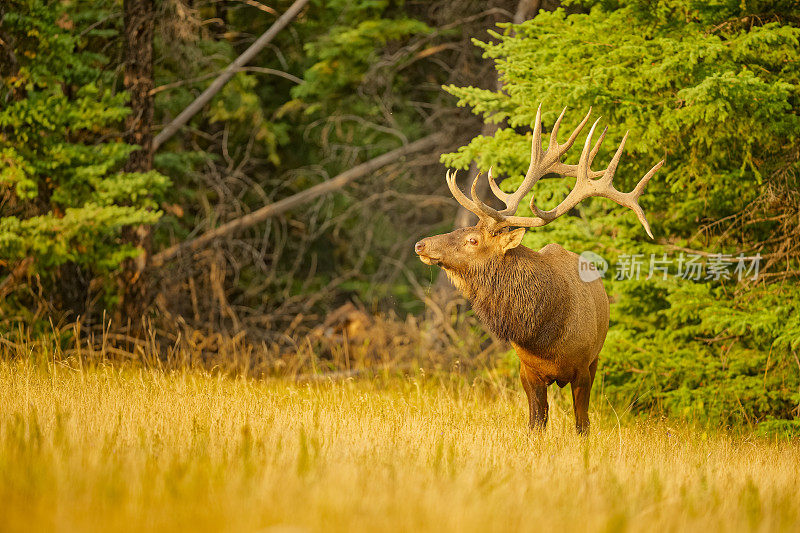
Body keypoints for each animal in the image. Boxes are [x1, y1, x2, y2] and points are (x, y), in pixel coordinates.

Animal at [412, 104, 664, 432]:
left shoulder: (583, 368)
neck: (544, 336)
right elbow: (536, 422)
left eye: (472, 239)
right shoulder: (527, 370)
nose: (421, 244)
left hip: (596, 357)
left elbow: (582, 424)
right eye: (464, 229)